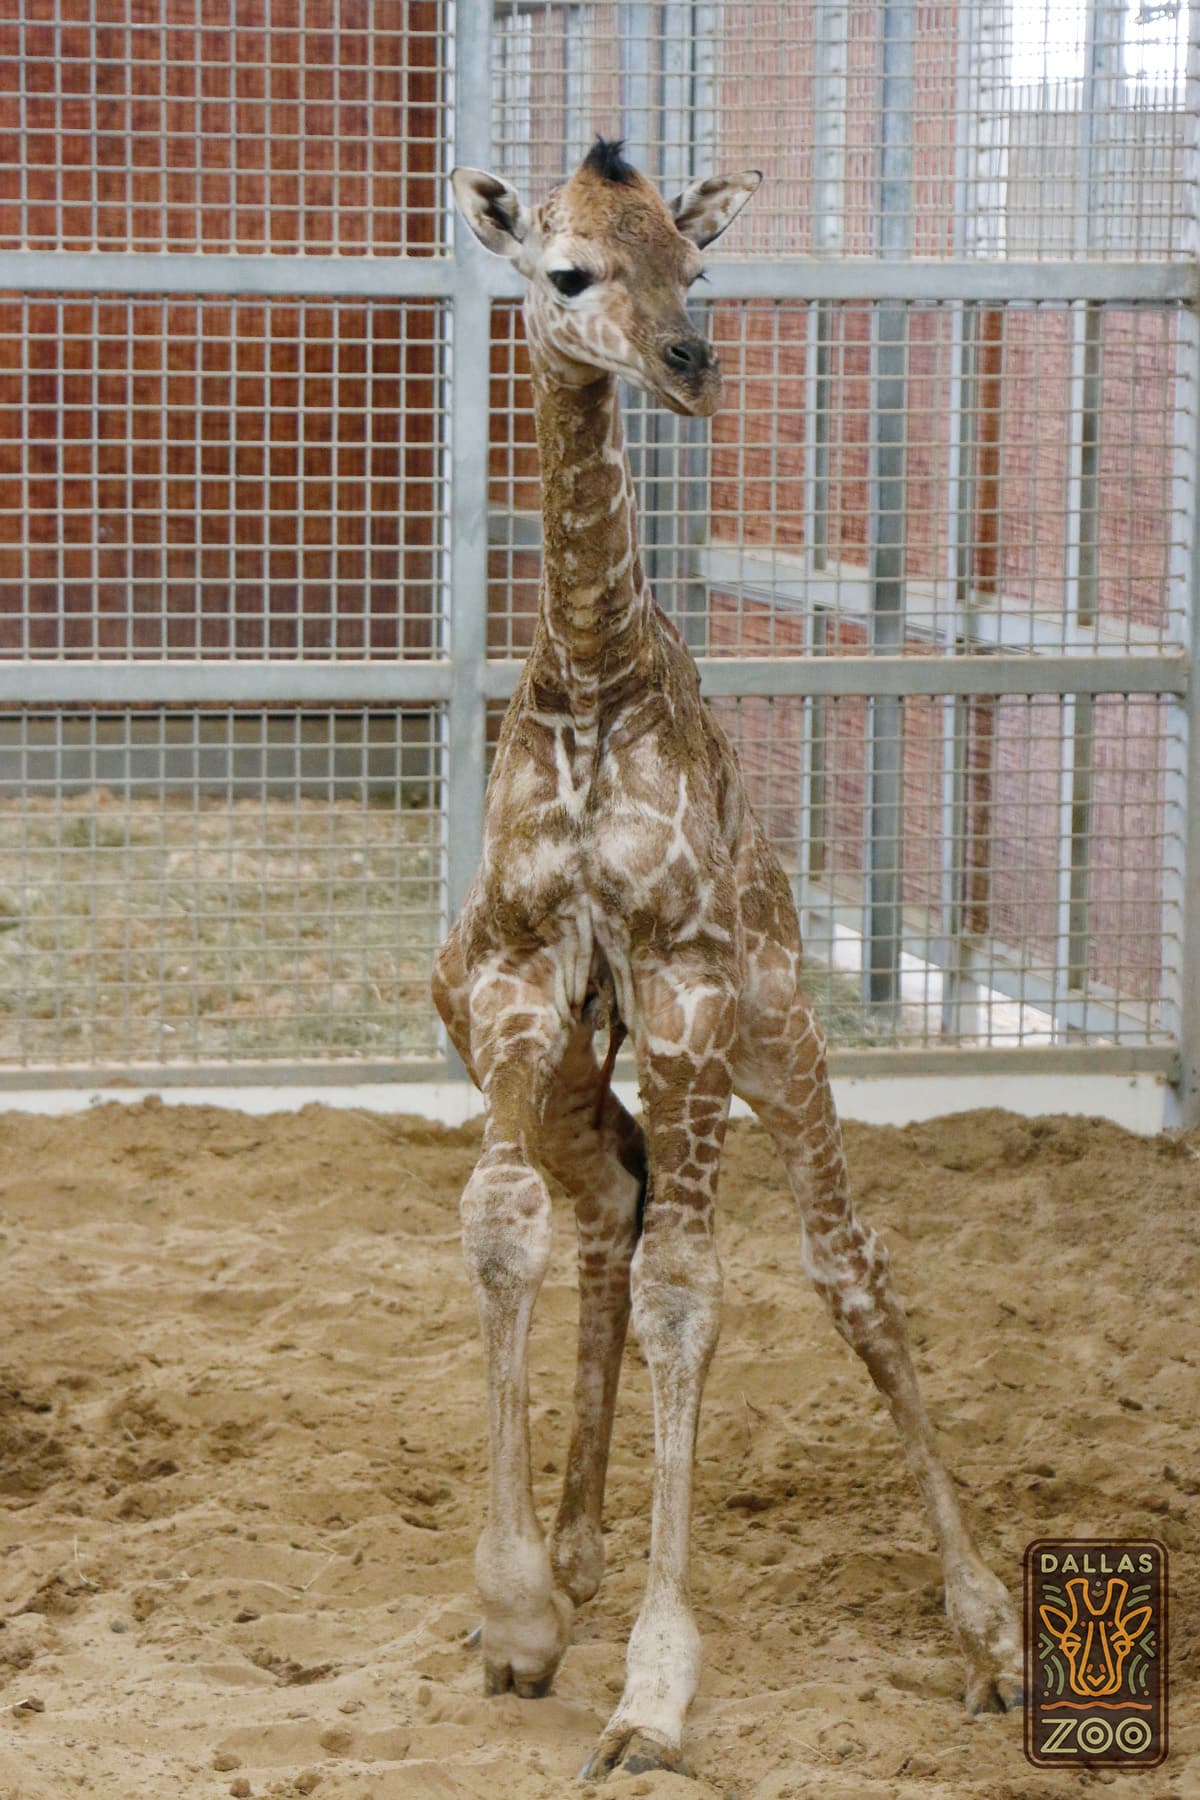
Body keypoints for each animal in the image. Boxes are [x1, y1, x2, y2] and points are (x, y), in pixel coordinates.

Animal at [433, 138, 1022, 1781]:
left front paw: (652, 1689)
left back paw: (989, 1629)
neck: (590, 677)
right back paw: (574, 1552)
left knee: (848, 1268)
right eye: (568, 270)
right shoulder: (513, 983)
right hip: (594, 1055)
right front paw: (517, 1611)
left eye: (695, 269)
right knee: (608, 1201)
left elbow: (698, 1290)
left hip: (778, 1040)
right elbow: (501, 1221)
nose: (692, 363)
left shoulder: (690, 989)